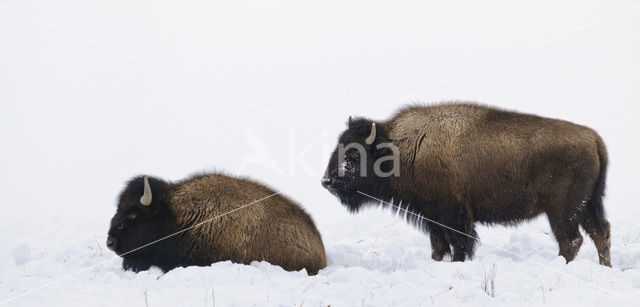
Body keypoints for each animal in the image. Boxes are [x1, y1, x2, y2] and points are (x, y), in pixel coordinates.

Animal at [322, 103, 612, 268]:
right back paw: (604, 267)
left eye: (354, 154)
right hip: (588, 205)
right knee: (600, 233)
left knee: (571, 240)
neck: (402, 148)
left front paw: (458, 263)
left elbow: (459, 243)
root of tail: (594, 139)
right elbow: (438, 246)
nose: (327, 181)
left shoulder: (453, 213)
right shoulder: (432, 216)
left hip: (562, 210)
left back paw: (561, 265)